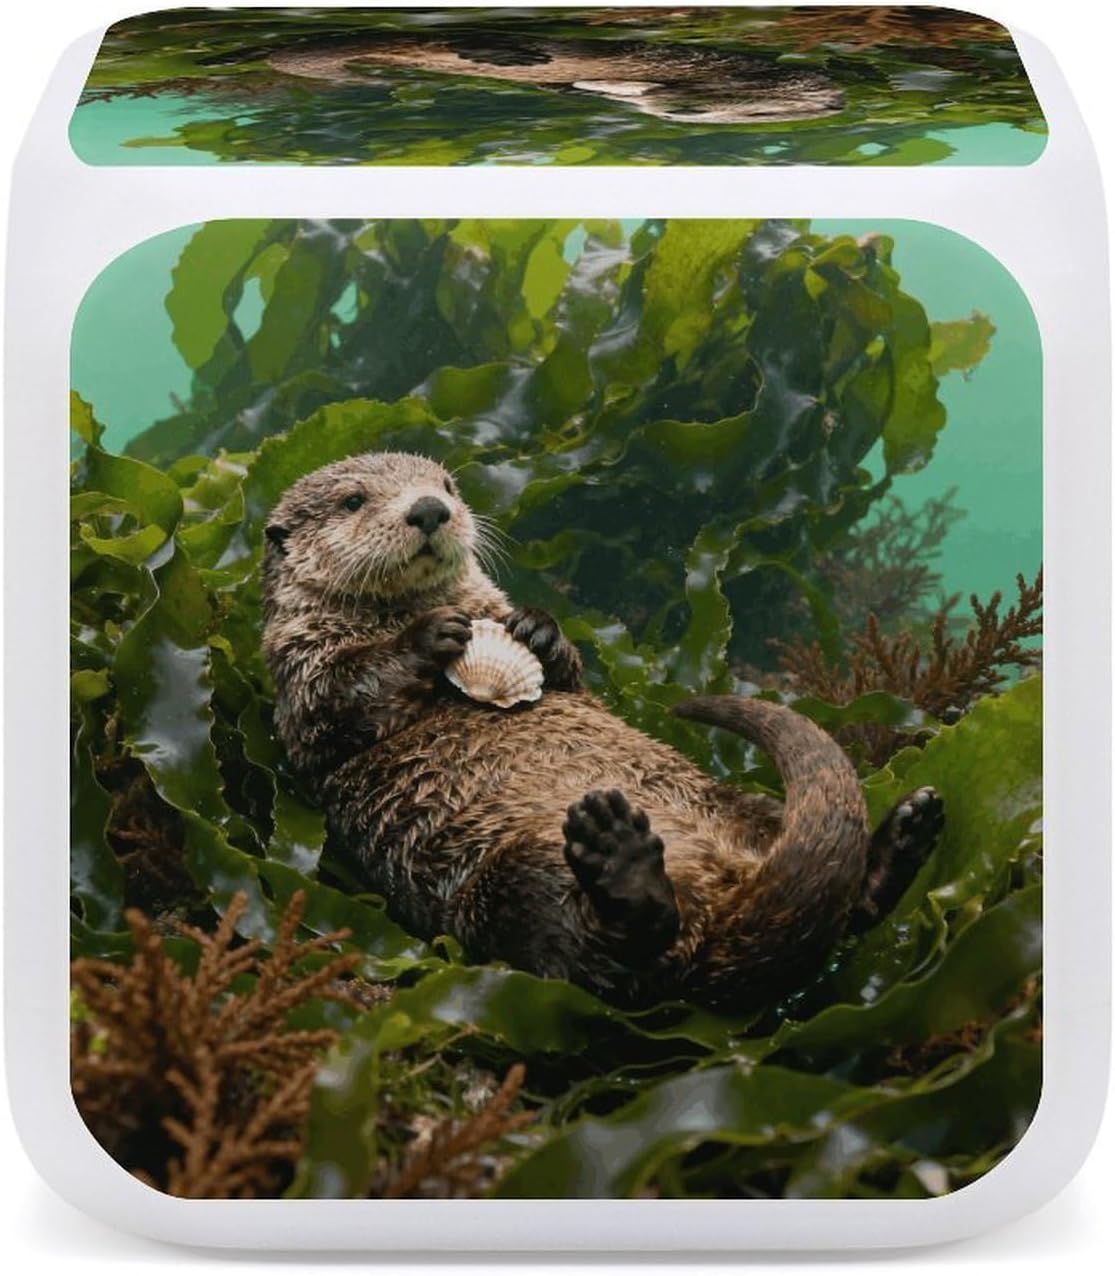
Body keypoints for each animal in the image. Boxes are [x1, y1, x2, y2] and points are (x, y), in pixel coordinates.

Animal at [261, 451, 941, 1009]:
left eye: (447, 484)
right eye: (353, 500)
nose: (430, 509)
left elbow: (572, 680)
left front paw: (538, 629)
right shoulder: (301, 678)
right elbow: (338, 703)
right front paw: (427, 637)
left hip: (736, 803)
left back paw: (904, 837)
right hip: (505, 880)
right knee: (611, 957)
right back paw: (623, 860)